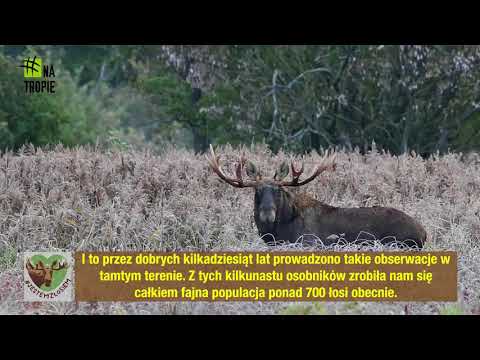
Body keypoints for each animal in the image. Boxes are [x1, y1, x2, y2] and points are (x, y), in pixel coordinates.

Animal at [206, 145, 428, 249]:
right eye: (256, 191)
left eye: (278, 191)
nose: (267, 214)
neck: (279, 233)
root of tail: (424, 233)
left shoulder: (310, 243)